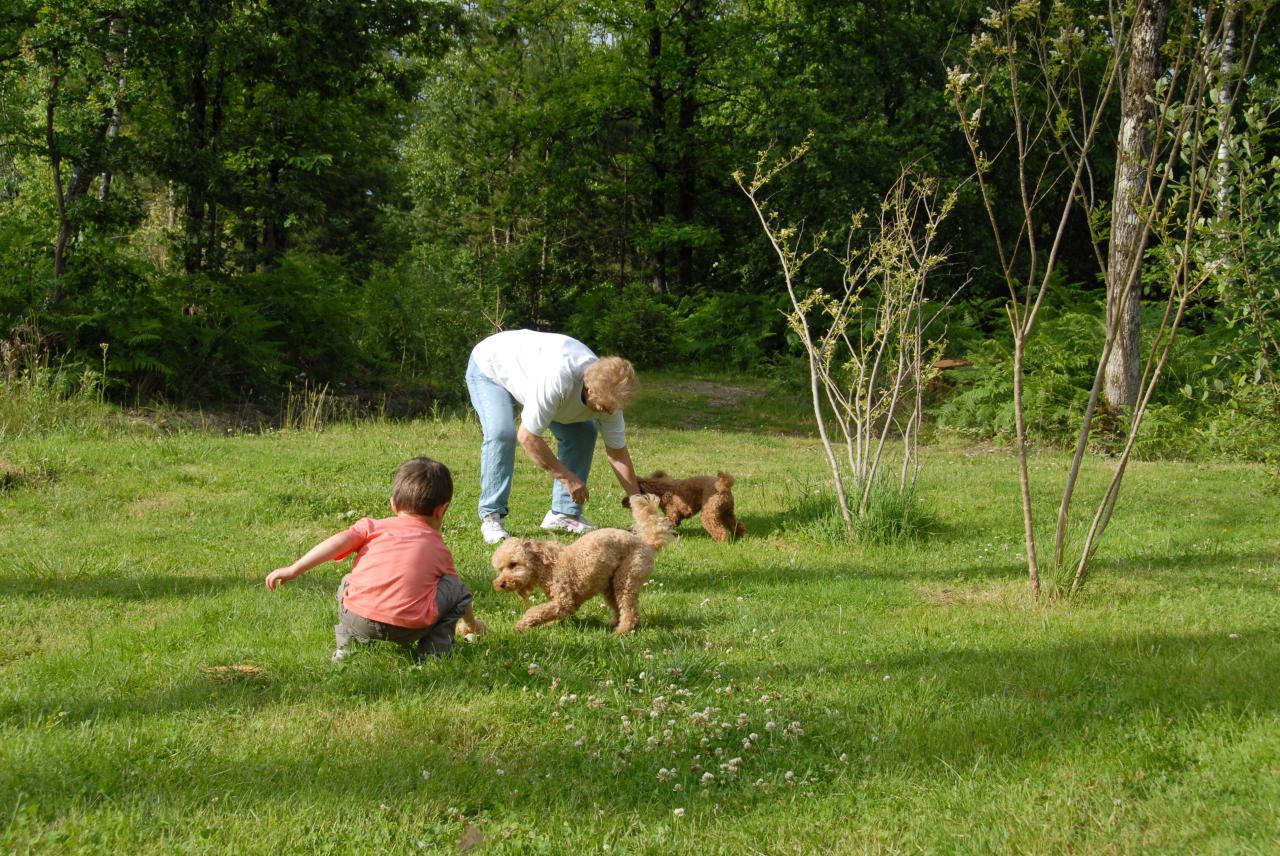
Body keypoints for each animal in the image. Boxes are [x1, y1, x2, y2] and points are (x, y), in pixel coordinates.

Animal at [488, 493, 675, 634]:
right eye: (500, 569)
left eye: (513, 564)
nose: (500, 584)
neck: (548, 566)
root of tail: (645, 543)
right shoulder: (558, 603)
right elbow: (546, 612)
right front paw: (548, 624)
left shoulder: (564, 602)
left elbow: (536, 610)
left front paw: (522, 625)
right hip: (609, 584)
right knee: (617, 606)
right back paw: (612, 623)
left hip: (627, 577)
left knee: (629, 610)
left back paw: (622, 630)